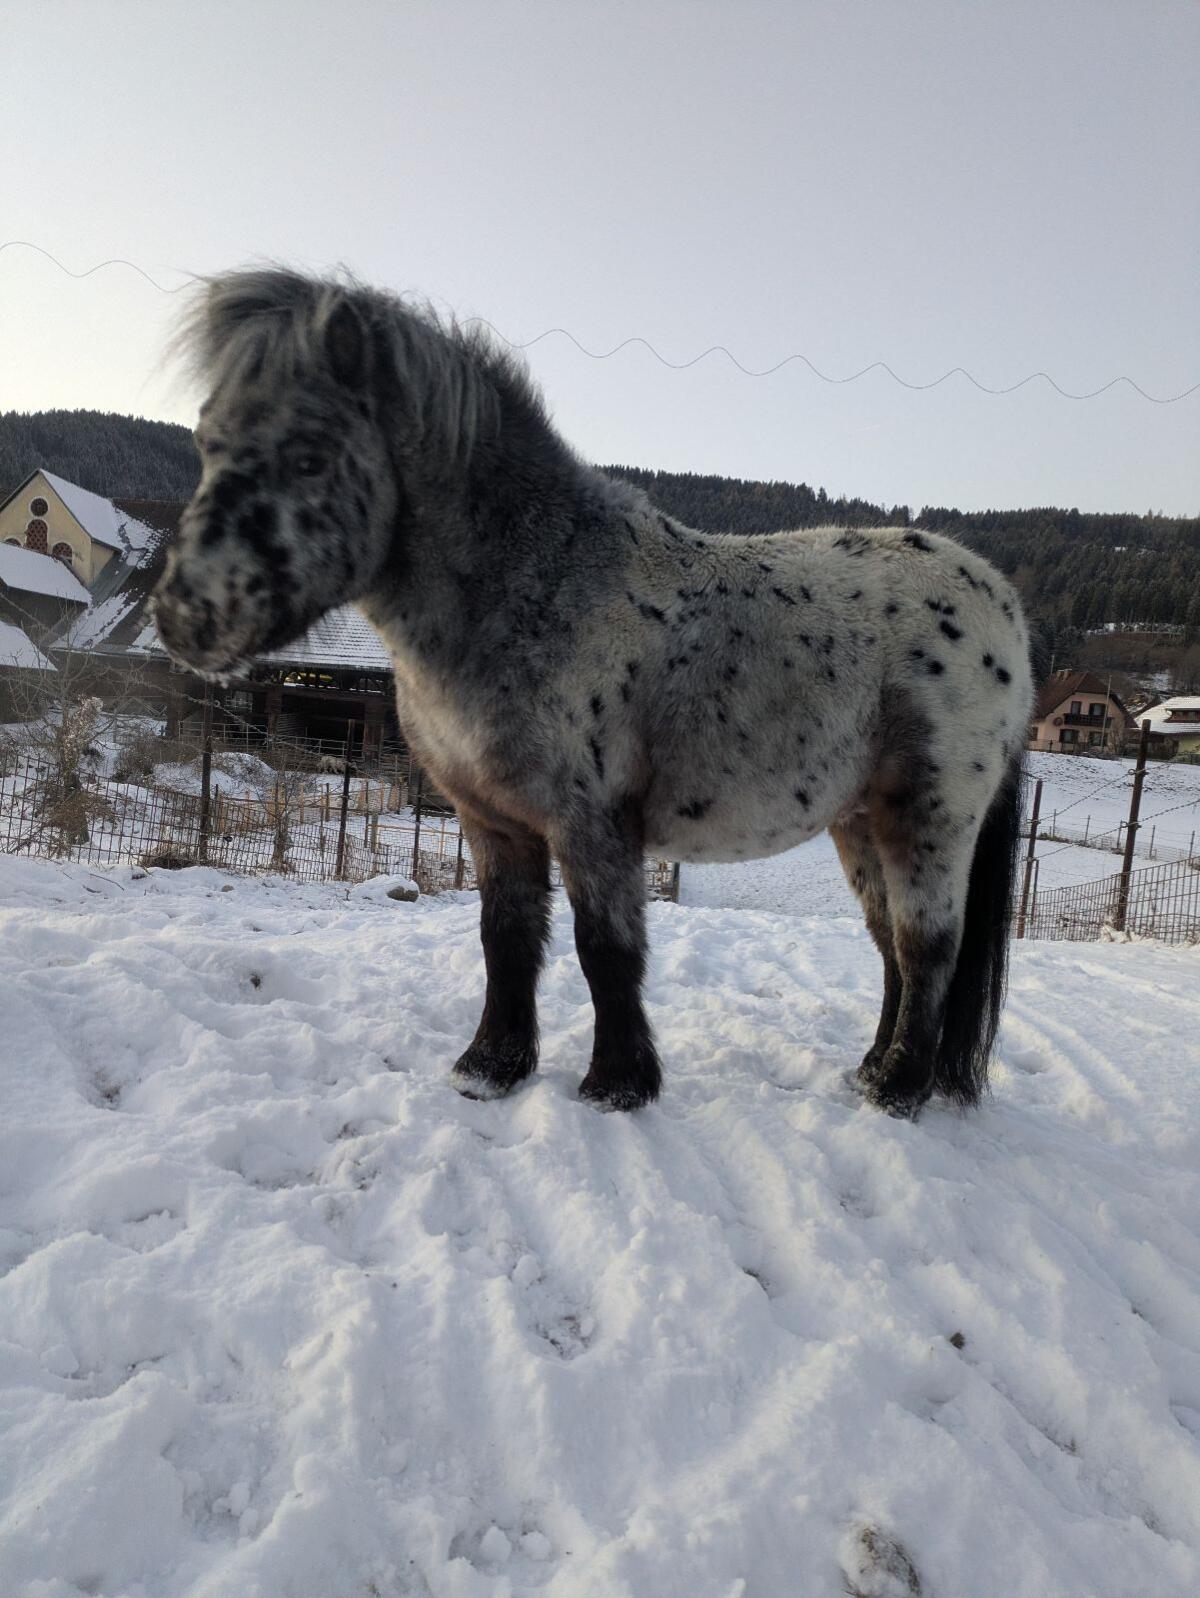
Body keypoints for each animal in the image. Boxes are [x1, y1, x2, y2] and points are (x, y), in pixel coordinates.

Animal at [153, 268, 1033, 1119]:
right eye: (205, 441)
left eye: (307, 457)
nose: (183, 616)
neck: (534, 587)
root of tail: (1004, 609)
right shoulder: (492, 820)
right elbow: (506, 940)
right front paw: (490, 1069)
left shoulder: (593, 824)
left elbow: (605, 951)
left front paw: (617, 1085)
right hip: (859, 820)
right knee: (890, 946)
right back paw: (871, 1069)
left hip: (929, 818)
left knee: (928, 948)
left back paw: (899, 1091)